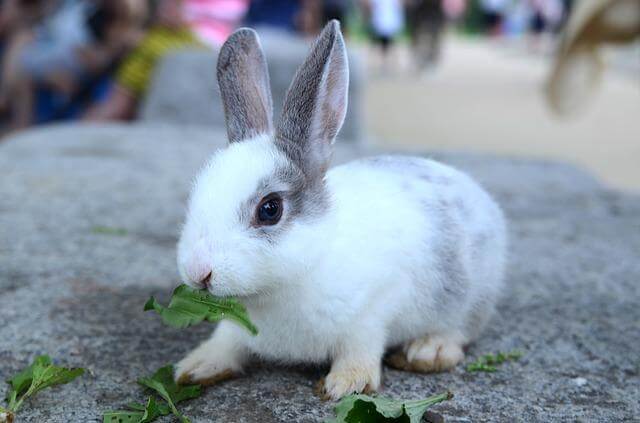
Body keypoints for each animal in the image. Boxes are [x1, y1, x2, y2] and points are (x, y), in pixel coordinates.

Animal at [174, 20, 504, 400]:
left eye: (270, 209)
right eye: (198, 191)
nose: (198, 272)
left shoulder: (375, 308)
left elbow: (361, 346)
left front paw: (346, 384)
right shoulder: (236, 326)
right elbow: (226, 341)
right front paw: (194, 367)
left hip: (469, 296)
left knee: (461, 330)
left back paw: (428, 351)